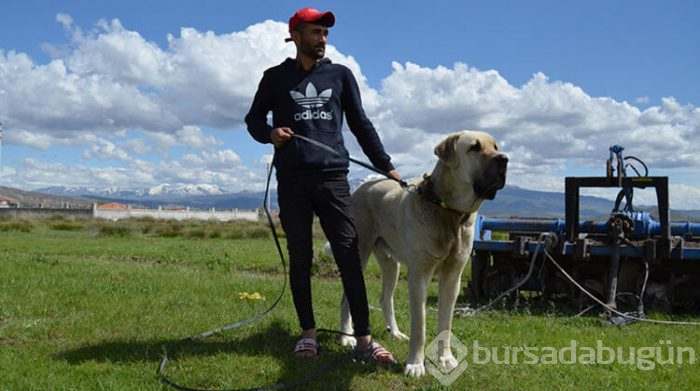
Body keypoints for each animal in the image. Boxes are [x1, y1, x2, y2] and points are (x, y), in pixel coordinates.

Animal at [338, 131, 506, 376]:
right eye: (474, 147)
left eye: (495, 147)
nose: (504, 159)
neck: (448, 211)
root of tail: (362, 186)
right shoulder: (419, 276)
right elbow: (420, 326)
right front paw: (415, 364)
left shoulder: (452, 278)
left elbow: (445, 322)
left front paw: (445, 359)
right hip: (359, 253)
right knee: (346, 299)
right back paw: (345, 337)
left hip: (391, 263)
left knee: (385, 298)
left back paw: (395, 332)